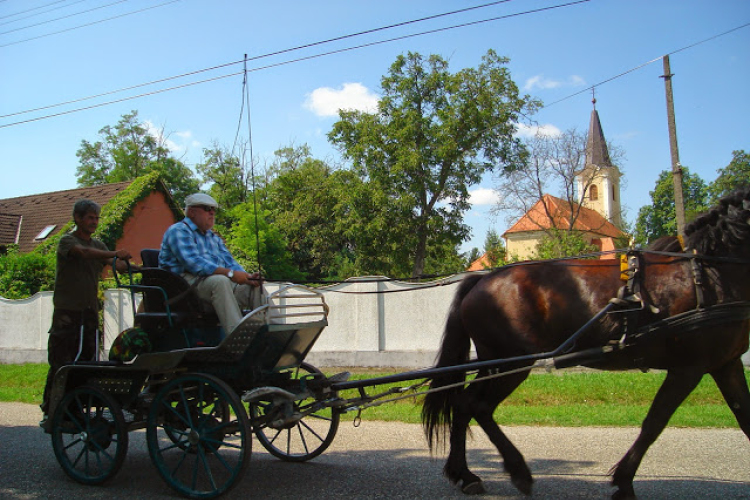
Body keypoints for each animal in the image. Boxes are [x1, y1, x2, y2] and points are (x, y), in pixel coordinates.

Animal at [424, 186, 750, 498]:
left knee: (463, 405)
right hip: (512, 364)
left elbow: (743, 415)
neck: (710, 272)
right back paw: (517, 471)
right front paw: (624, 482)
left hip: (496, 364)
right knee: (478, 407)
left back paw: (465, 475)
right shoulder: (688, 369)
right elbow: (654, 423)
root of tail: (482, 279)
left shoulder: (726, 365)